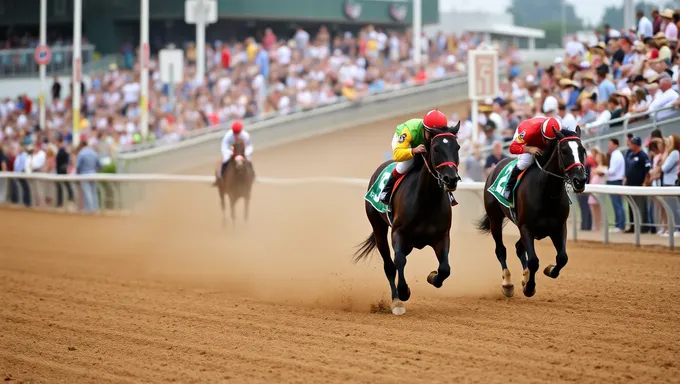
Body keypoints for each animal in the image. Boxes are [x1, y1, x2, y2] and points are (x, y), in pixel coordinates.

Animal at [354, 123, 460, 316]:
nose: (451, 179)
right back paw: (396, 301)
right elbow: (399, 261)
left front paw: (432, 277)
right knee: (389, 265)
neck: (426, 201)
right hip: (378, 227)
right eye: (435, 148)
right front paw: (403, 292)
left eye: (457, 147)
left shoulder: (442, 236)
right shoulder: (398, 233)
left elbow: (444, 268)